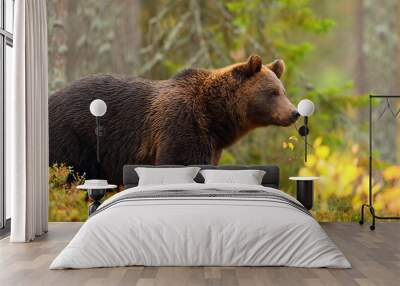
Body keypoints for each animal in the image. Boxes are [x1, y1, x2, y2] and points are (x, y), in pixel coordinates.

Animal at [48, 55, 300, 184]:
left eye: (283, 91)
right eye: (272, 92)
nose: (294, 112)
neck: (215, 118)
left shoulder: (212, 145)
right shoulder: (182, 125)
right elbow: (181, 161)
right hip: (72, 136)